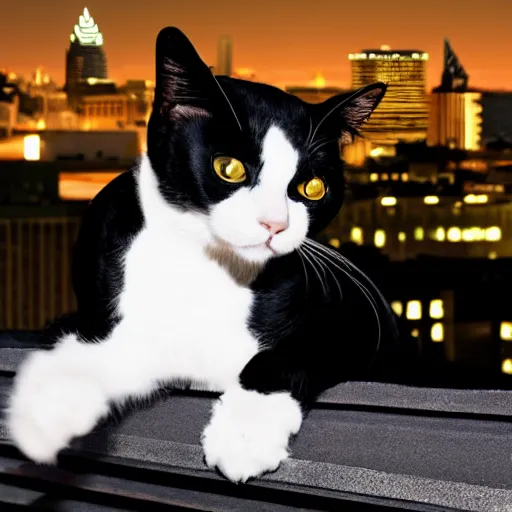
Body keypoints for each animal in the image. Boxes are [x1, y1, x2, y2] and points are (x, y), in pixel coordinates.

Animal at [5, 28, 400, 484]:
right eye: (229, 168)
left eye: (313, 188)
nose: (275, 224)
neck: (209, 269)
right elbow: (89, 337)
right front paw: (49, 406)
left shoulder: (356, 318)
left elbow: (292, 351)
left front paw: (247, 429)